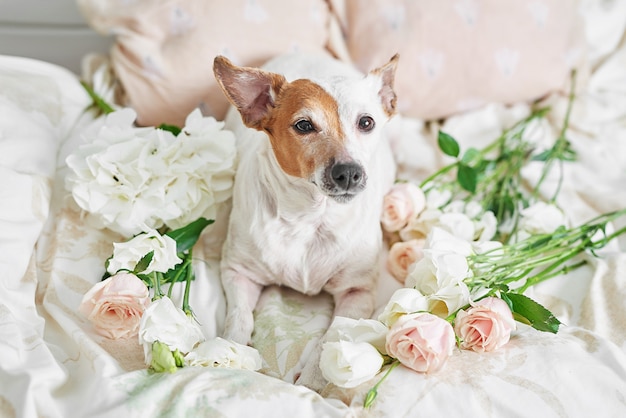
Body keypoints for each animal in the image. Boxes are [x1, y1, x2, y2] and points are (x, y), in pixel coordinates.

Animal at [212, 50, 398, 390]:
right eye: (303, 125)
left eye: (366, 122)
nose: (349, 172)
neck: (311, 219)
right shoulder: (238, 272)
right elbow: (239, 316)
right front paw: (230, 352)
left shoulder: (357, 292)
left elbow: (334, 335)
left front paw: (312, 377)